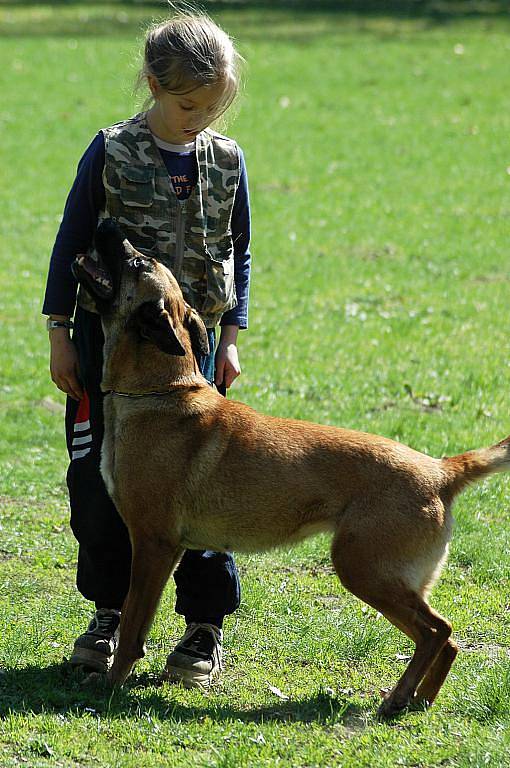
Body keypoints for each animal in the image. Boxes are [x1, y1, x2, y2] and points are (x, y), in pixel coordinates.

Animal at [72, 219, 510, 716]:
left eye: (138, 261)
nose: (105, 222)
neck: (159, 390)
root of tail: (441, 471)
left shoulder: (154, 545)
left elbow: (132, 624)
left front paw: (112, 683)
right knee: (445, 637)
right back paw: (419, 699)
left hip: (363, 569)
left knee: (436, 630)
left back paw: (399, 698)